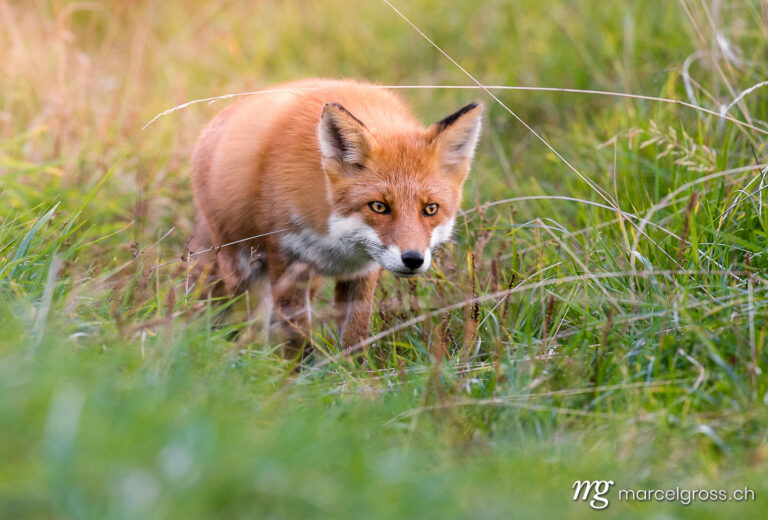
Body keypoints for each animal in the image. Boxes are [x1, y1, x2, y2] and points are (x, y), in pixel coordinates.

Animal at [189, 79, 484, 356]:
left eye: (431, 209)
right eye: (379, 206)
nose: (413, 259)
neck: (336, 240)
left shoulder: (361, 271)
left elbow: (355, 337)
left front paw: (354, 373)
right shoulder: (287, 259)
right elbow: (296, 341)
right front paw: (295, 376)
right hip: (242, 270)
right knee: (241, 318)